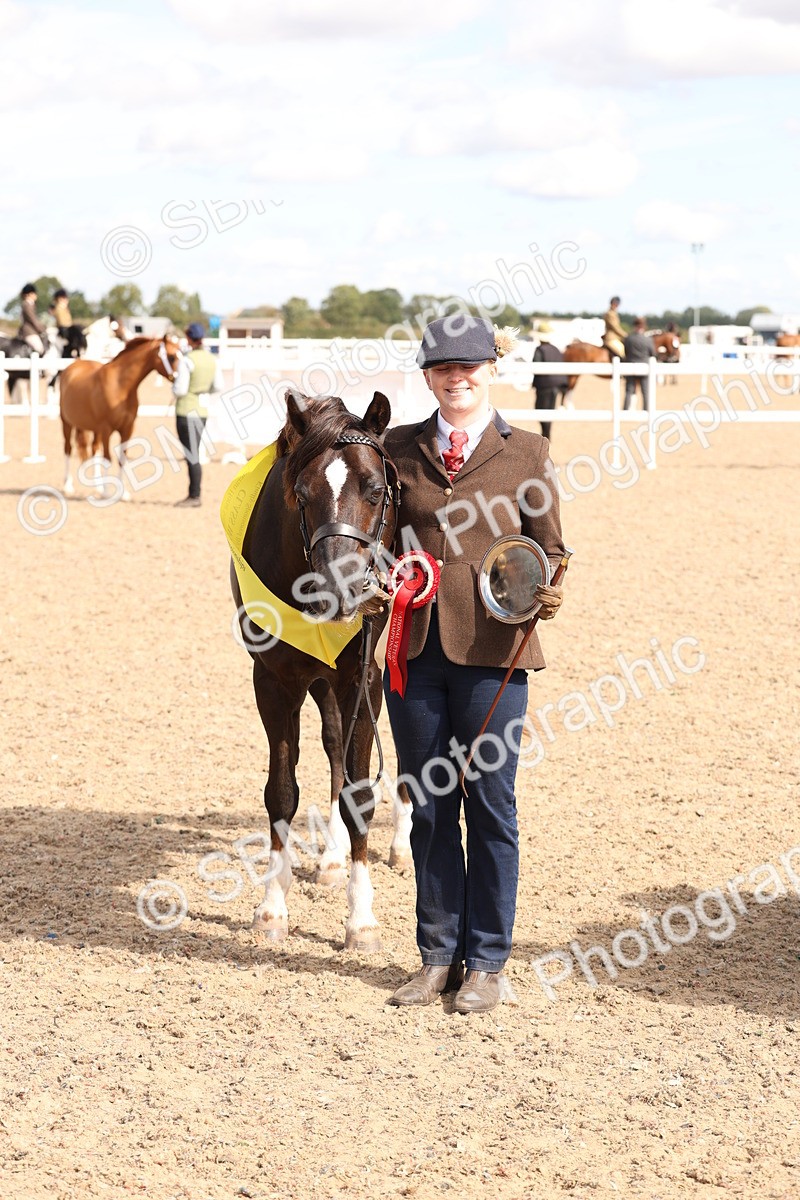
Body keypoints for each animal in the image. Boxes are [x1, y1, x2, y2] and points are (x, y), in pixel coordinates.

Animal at [60, 334, 182, 499]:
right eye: (171, 356)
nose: (180, 380)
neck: (120, 386)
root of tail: (72, 367)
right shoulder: (106, 429)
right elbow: (107, 459)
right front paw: (106, 493)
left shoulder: (127, 428)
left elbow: (122, 459)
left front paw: (122, 493)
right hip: (67, 423)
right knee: (68, 448)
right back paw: (68, 486)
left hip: (93, 428)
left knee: (93, 449)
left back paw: (97, 486)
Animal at [230, 388, 412, 950]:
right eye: (302, 494)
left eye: (375, 491)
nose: (339, 590)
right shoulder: (273, 681)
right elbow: (282, 792)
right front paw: (272, 906)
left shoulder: (363, 677)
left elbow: (359, 793)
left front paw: (361, 919)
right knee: (334, 744)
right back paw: (330, 859)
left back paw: (398, 846)